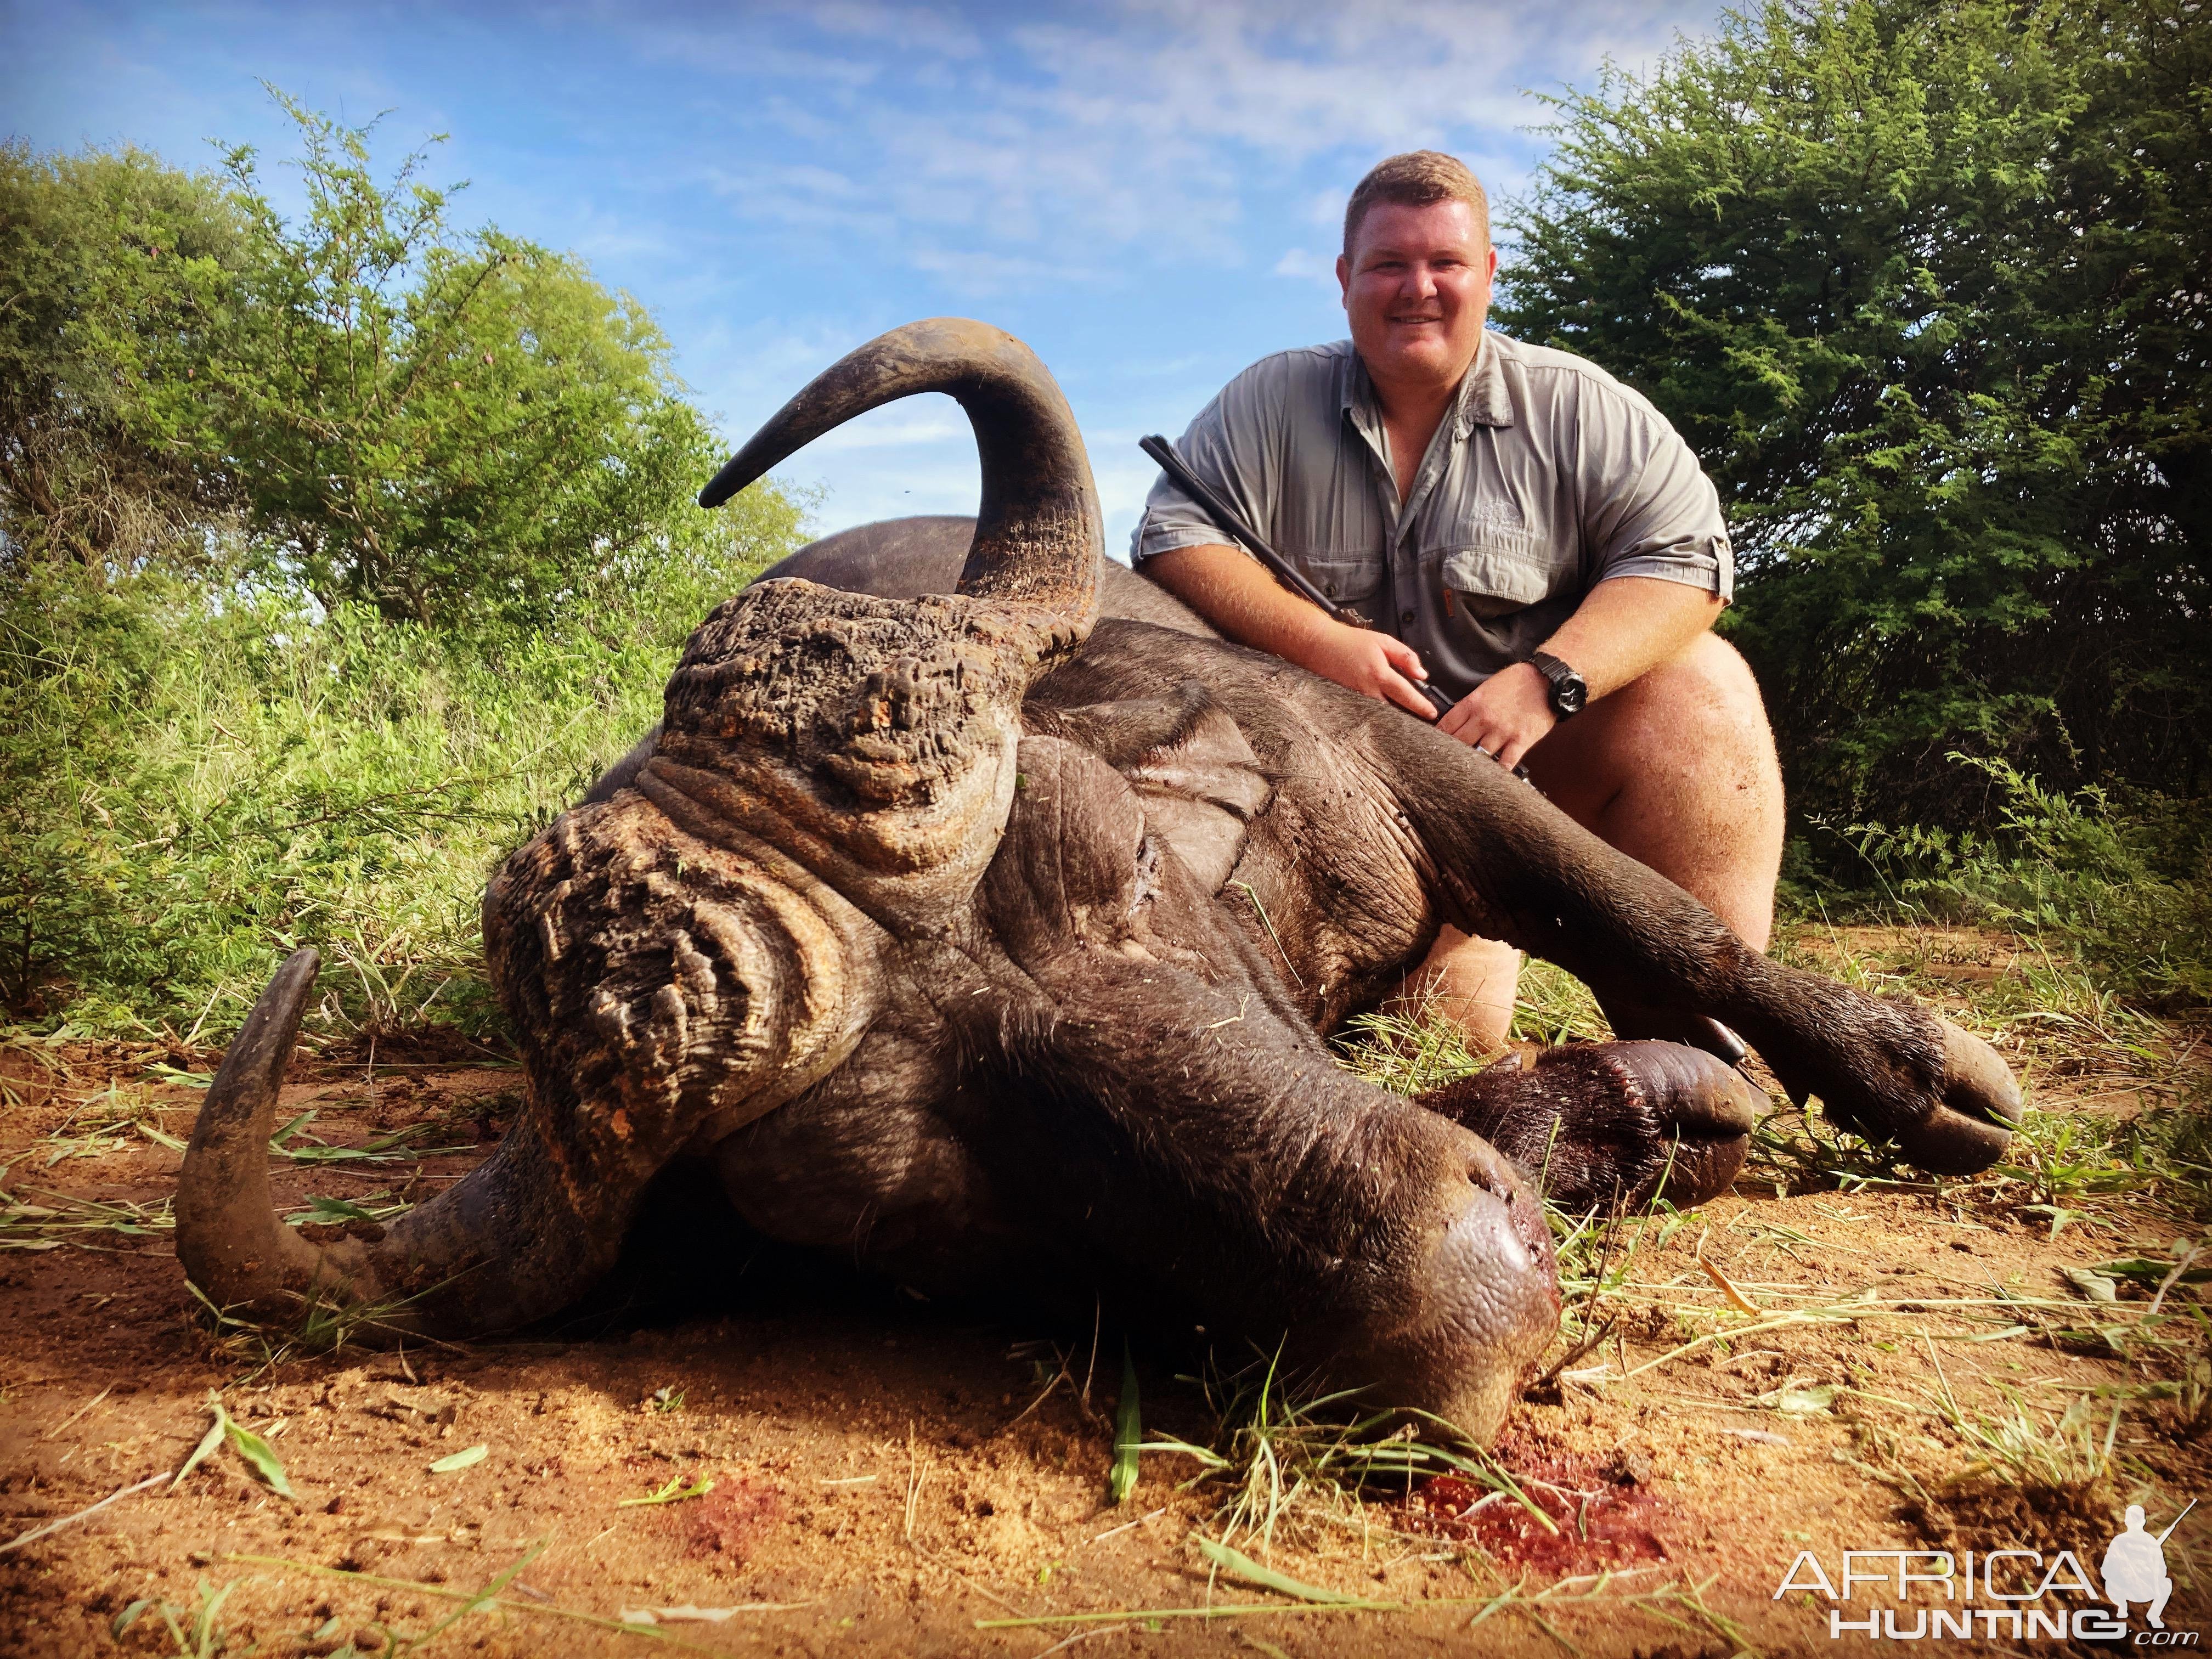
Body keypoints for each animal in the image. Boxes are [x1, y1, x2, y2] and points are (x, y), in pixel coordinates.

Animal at [177, 318, 2026, 1451]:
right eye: (910, 1217)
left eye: (1117, 864)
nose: (1477, 1309)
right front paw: (1629, 1112)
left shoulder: (1413, 768)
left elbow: (1662, 919)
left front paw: (1907, 1071)